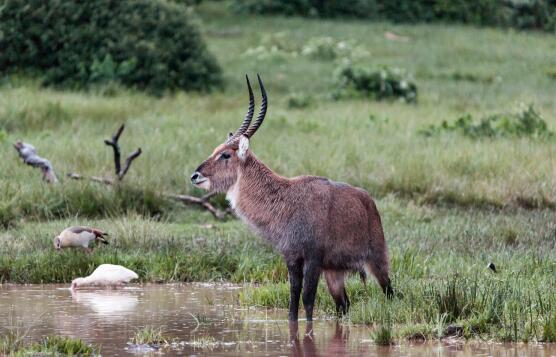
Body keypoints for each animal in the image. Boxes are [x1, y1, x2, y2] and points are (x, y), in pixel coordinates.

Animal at [193, 74, 394, 320]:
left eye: (225, 155)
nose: (195, 175)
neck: (284, 197)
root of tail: (368, 201)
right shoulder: (291, 258)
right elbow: (293, 302)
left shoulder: (313, 259)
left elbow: (307, 300)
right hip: (334, 272)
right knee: (343, 305)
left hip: (377, 260)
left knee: (390, 292)